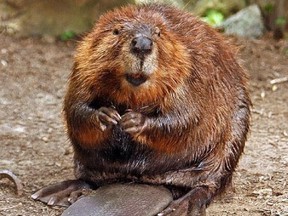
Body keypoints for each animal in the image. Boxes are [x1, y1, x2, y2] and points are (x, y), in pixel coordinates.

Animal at [32, 3, 250, 216]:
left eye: (159, 33)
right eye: (116, 31)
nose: (142, 45)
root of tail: (150, 181)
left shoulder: (193, 69)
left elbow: (186, 117)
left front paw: (133, 120)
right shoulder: (83, 64)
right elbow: (75, 106)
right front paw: (107, 116)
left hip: (234, 133)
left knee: (208, 184)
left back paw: (182, 207)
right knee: (91, 179)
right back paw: (56, 193)